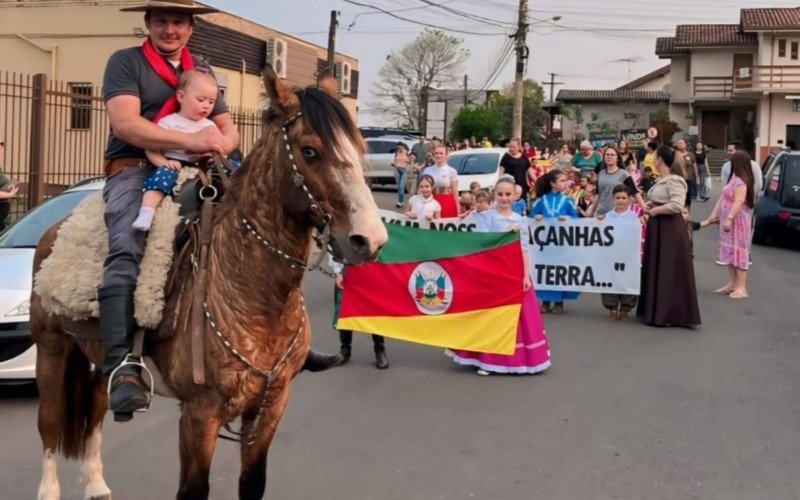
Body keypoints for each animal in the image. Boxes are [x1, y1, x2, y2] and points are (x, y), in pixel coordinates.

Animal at [32, 67, 390, 500]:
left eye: (358, 147)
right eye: (309, 151)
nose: (369, 240)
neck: (254, 296)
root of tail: (53, 231)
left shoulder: (271, 406)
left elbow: (252, 483)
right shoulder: (200, 414)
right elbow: (193, 489)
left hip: (96, 357)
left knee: (96, 414)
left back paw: (97, 484)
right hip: (52, 348)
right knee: (50, 423)